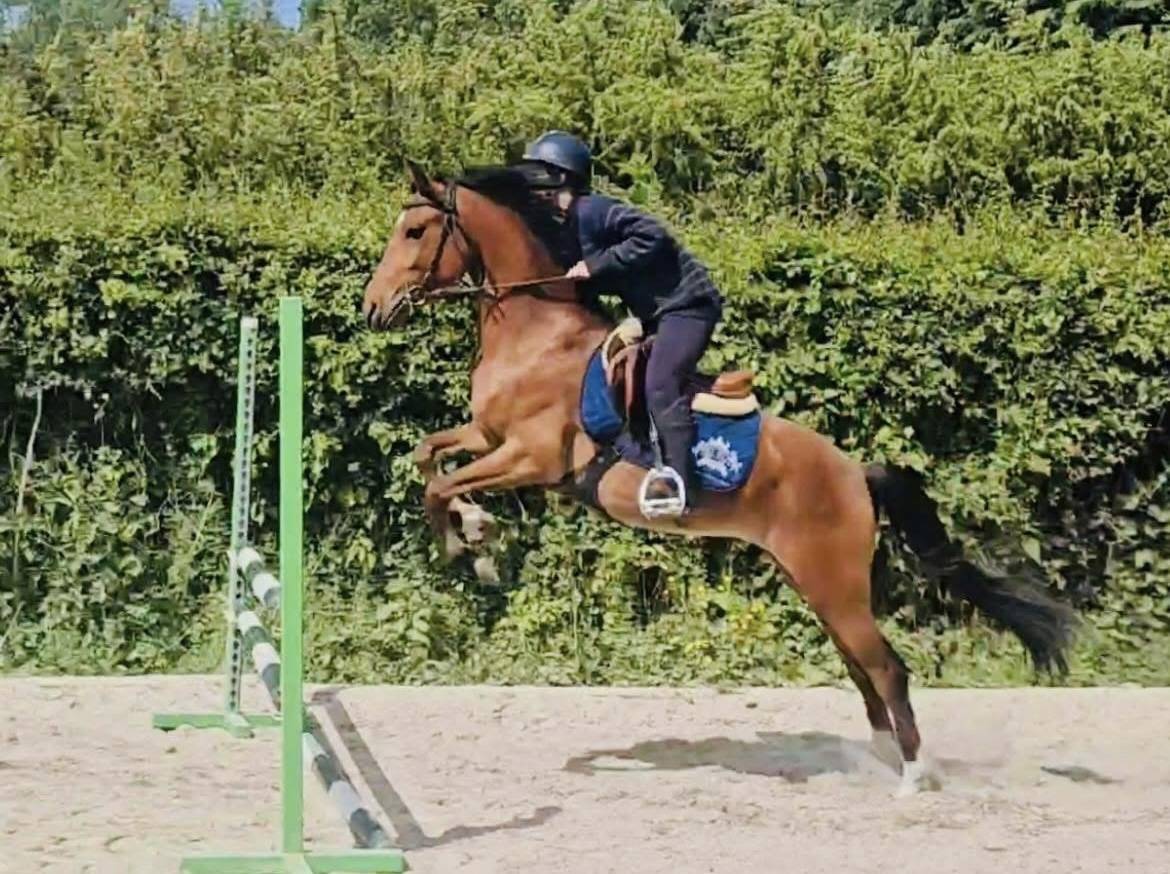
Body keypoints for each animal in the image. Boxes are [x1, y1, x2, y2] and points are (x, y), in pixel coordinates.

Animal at [362, 161, 1076, 795]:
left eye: (416, 231)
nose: (372, 310)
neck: (537, 333)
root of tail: (855, 473)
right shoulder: (487, 436)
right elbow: (428, 456)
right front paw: (474, 536)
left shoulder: (531, 457)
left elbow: (441, 483)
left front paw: (468, 545)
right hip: (817, 585)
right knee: (862, 668)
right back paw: (878, 757)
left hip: (833, 584)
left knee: (888, 669)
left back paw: (912, 778)